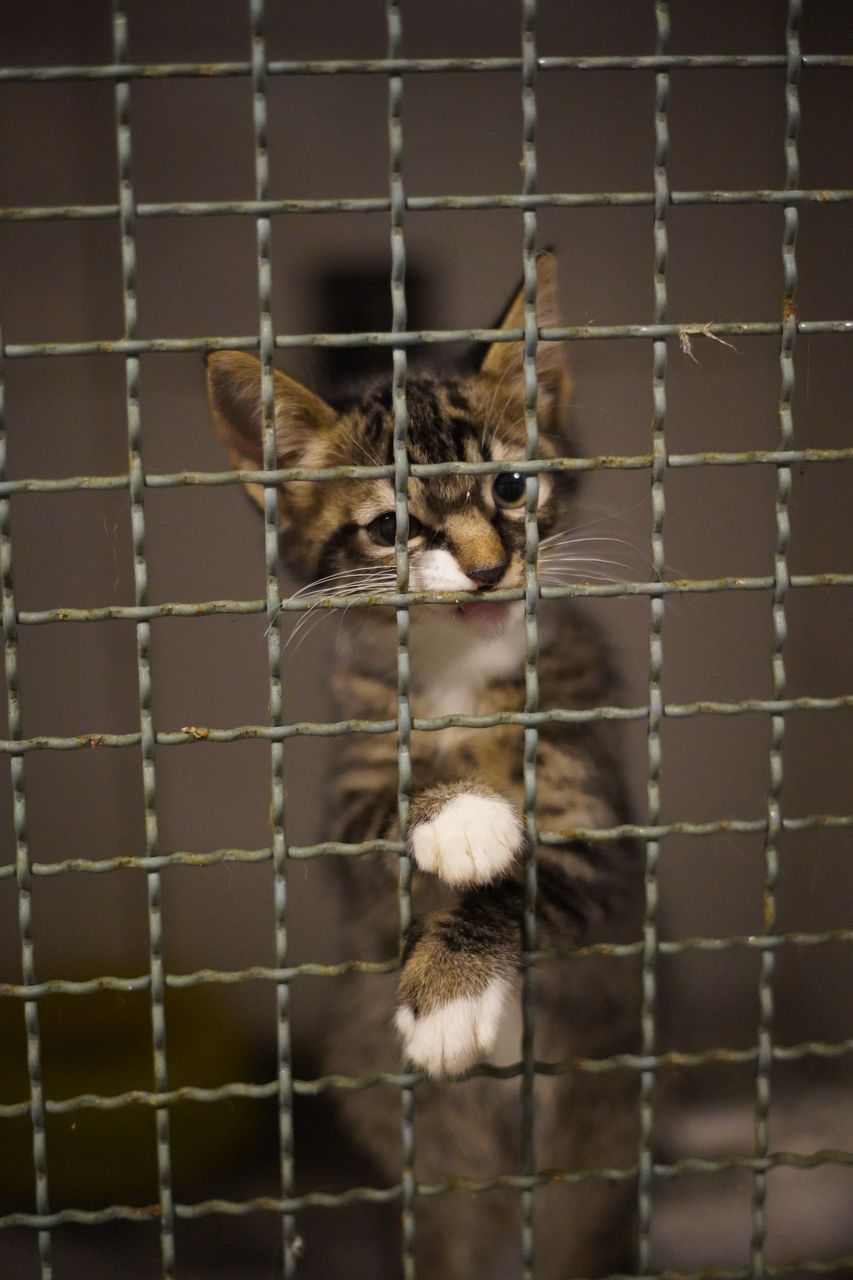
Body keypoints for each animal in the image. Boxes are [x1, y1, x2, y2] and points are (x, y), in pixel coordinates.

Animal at [208, 254, 640, 1274]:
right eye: (390, 525)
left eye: (512, 486)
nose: (485, 568)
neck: (457, 677)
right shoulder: (351, 777)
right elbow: (377, 816)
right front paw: (462, 814)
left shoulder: (601, 814)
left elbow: (535, 879)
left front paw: (447, 996)